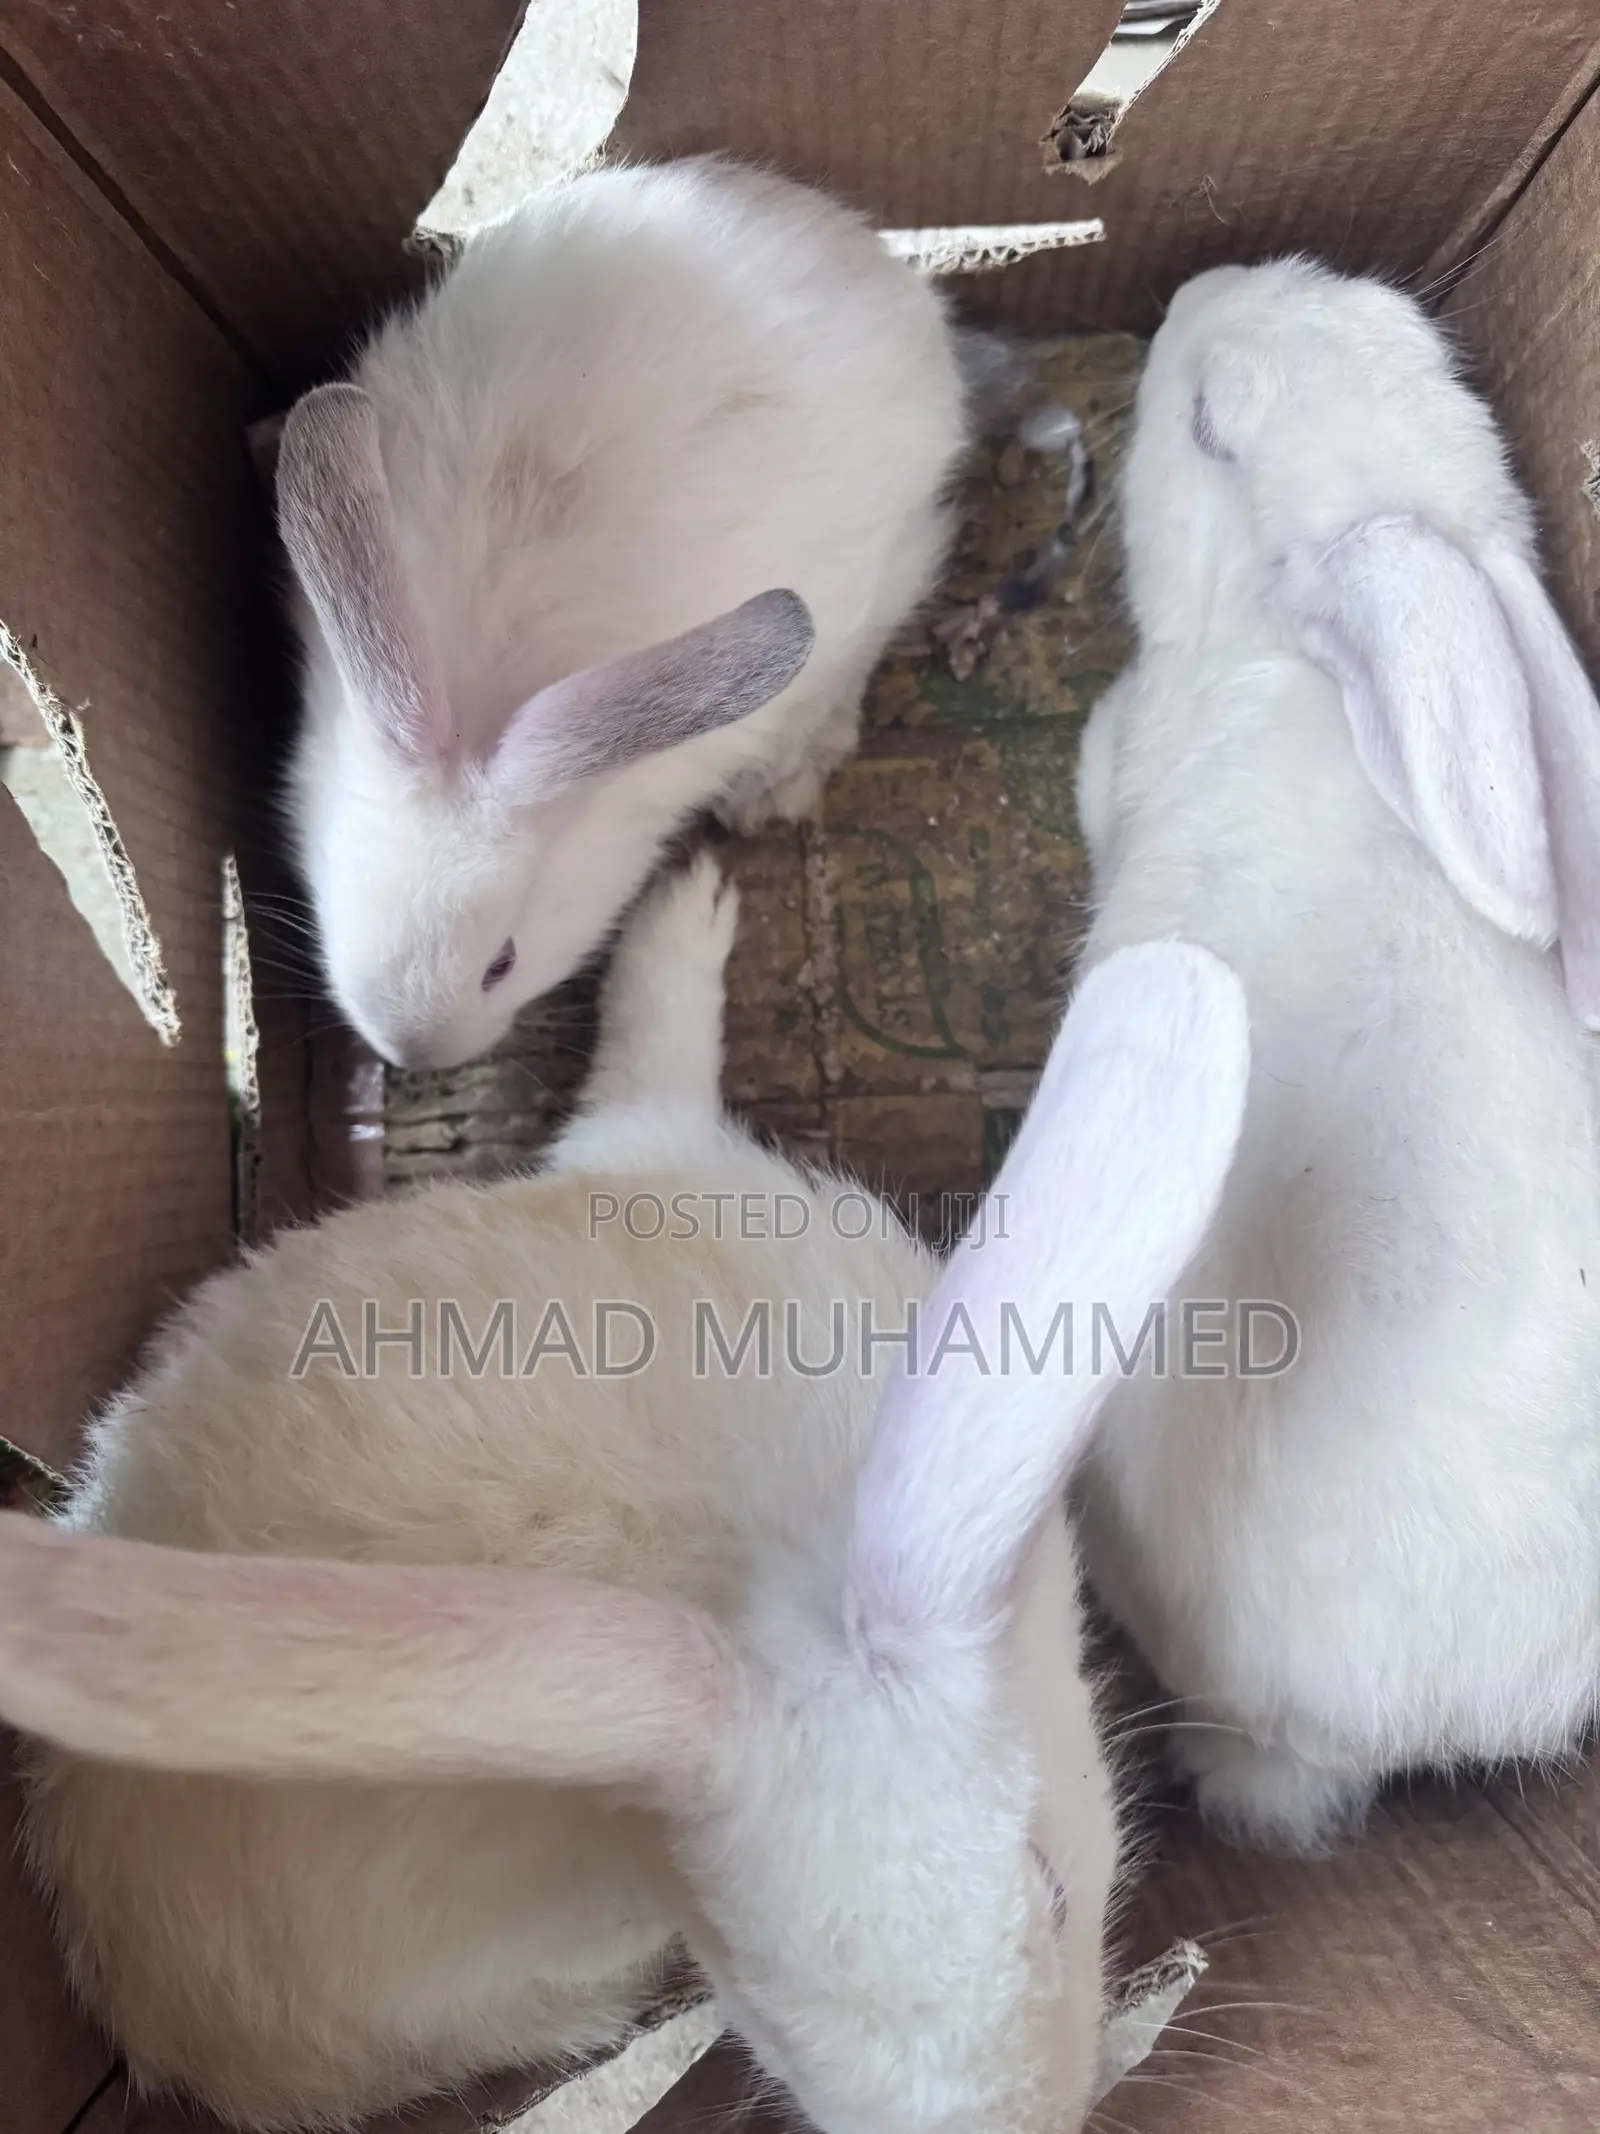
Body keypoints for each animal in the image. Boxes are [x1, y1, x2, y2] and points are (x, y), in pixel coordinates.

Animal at [275, 153, 977, 1073]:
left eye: (501, 963)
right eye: (333, 901)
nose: (418, 1058)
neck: (481, 714)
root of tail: (867, 254)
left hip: (889, 569)